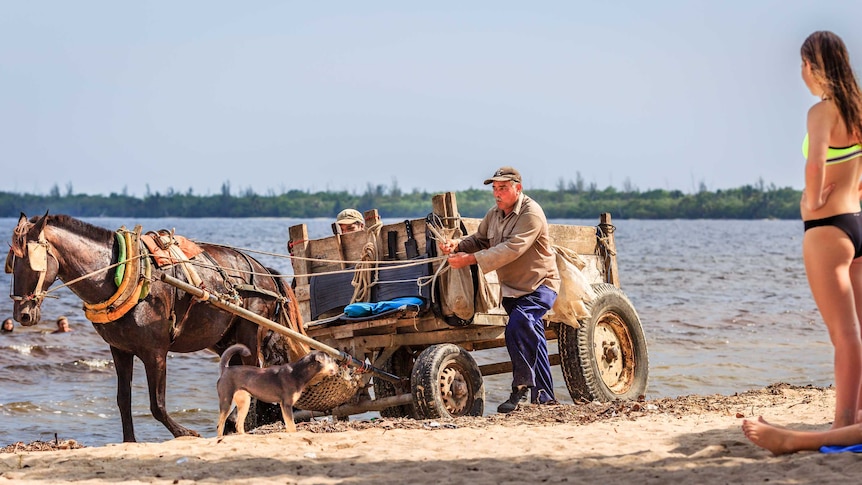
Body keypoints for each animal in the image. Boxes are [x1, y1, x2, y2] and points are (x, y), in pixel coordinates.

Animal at [5, 214, 296, 440]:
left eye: (33, 262)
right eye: (12, 264)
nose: (23, 314)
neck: (119, 274)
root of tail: (263, 270)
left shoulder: (155, 352)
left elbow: (157, 403)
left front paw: (184, 433)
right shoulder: (119, 350)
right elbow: (123, 400)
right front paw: (129, 441)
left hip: (249, 331)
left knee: (254, 374)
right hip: (223, 339)